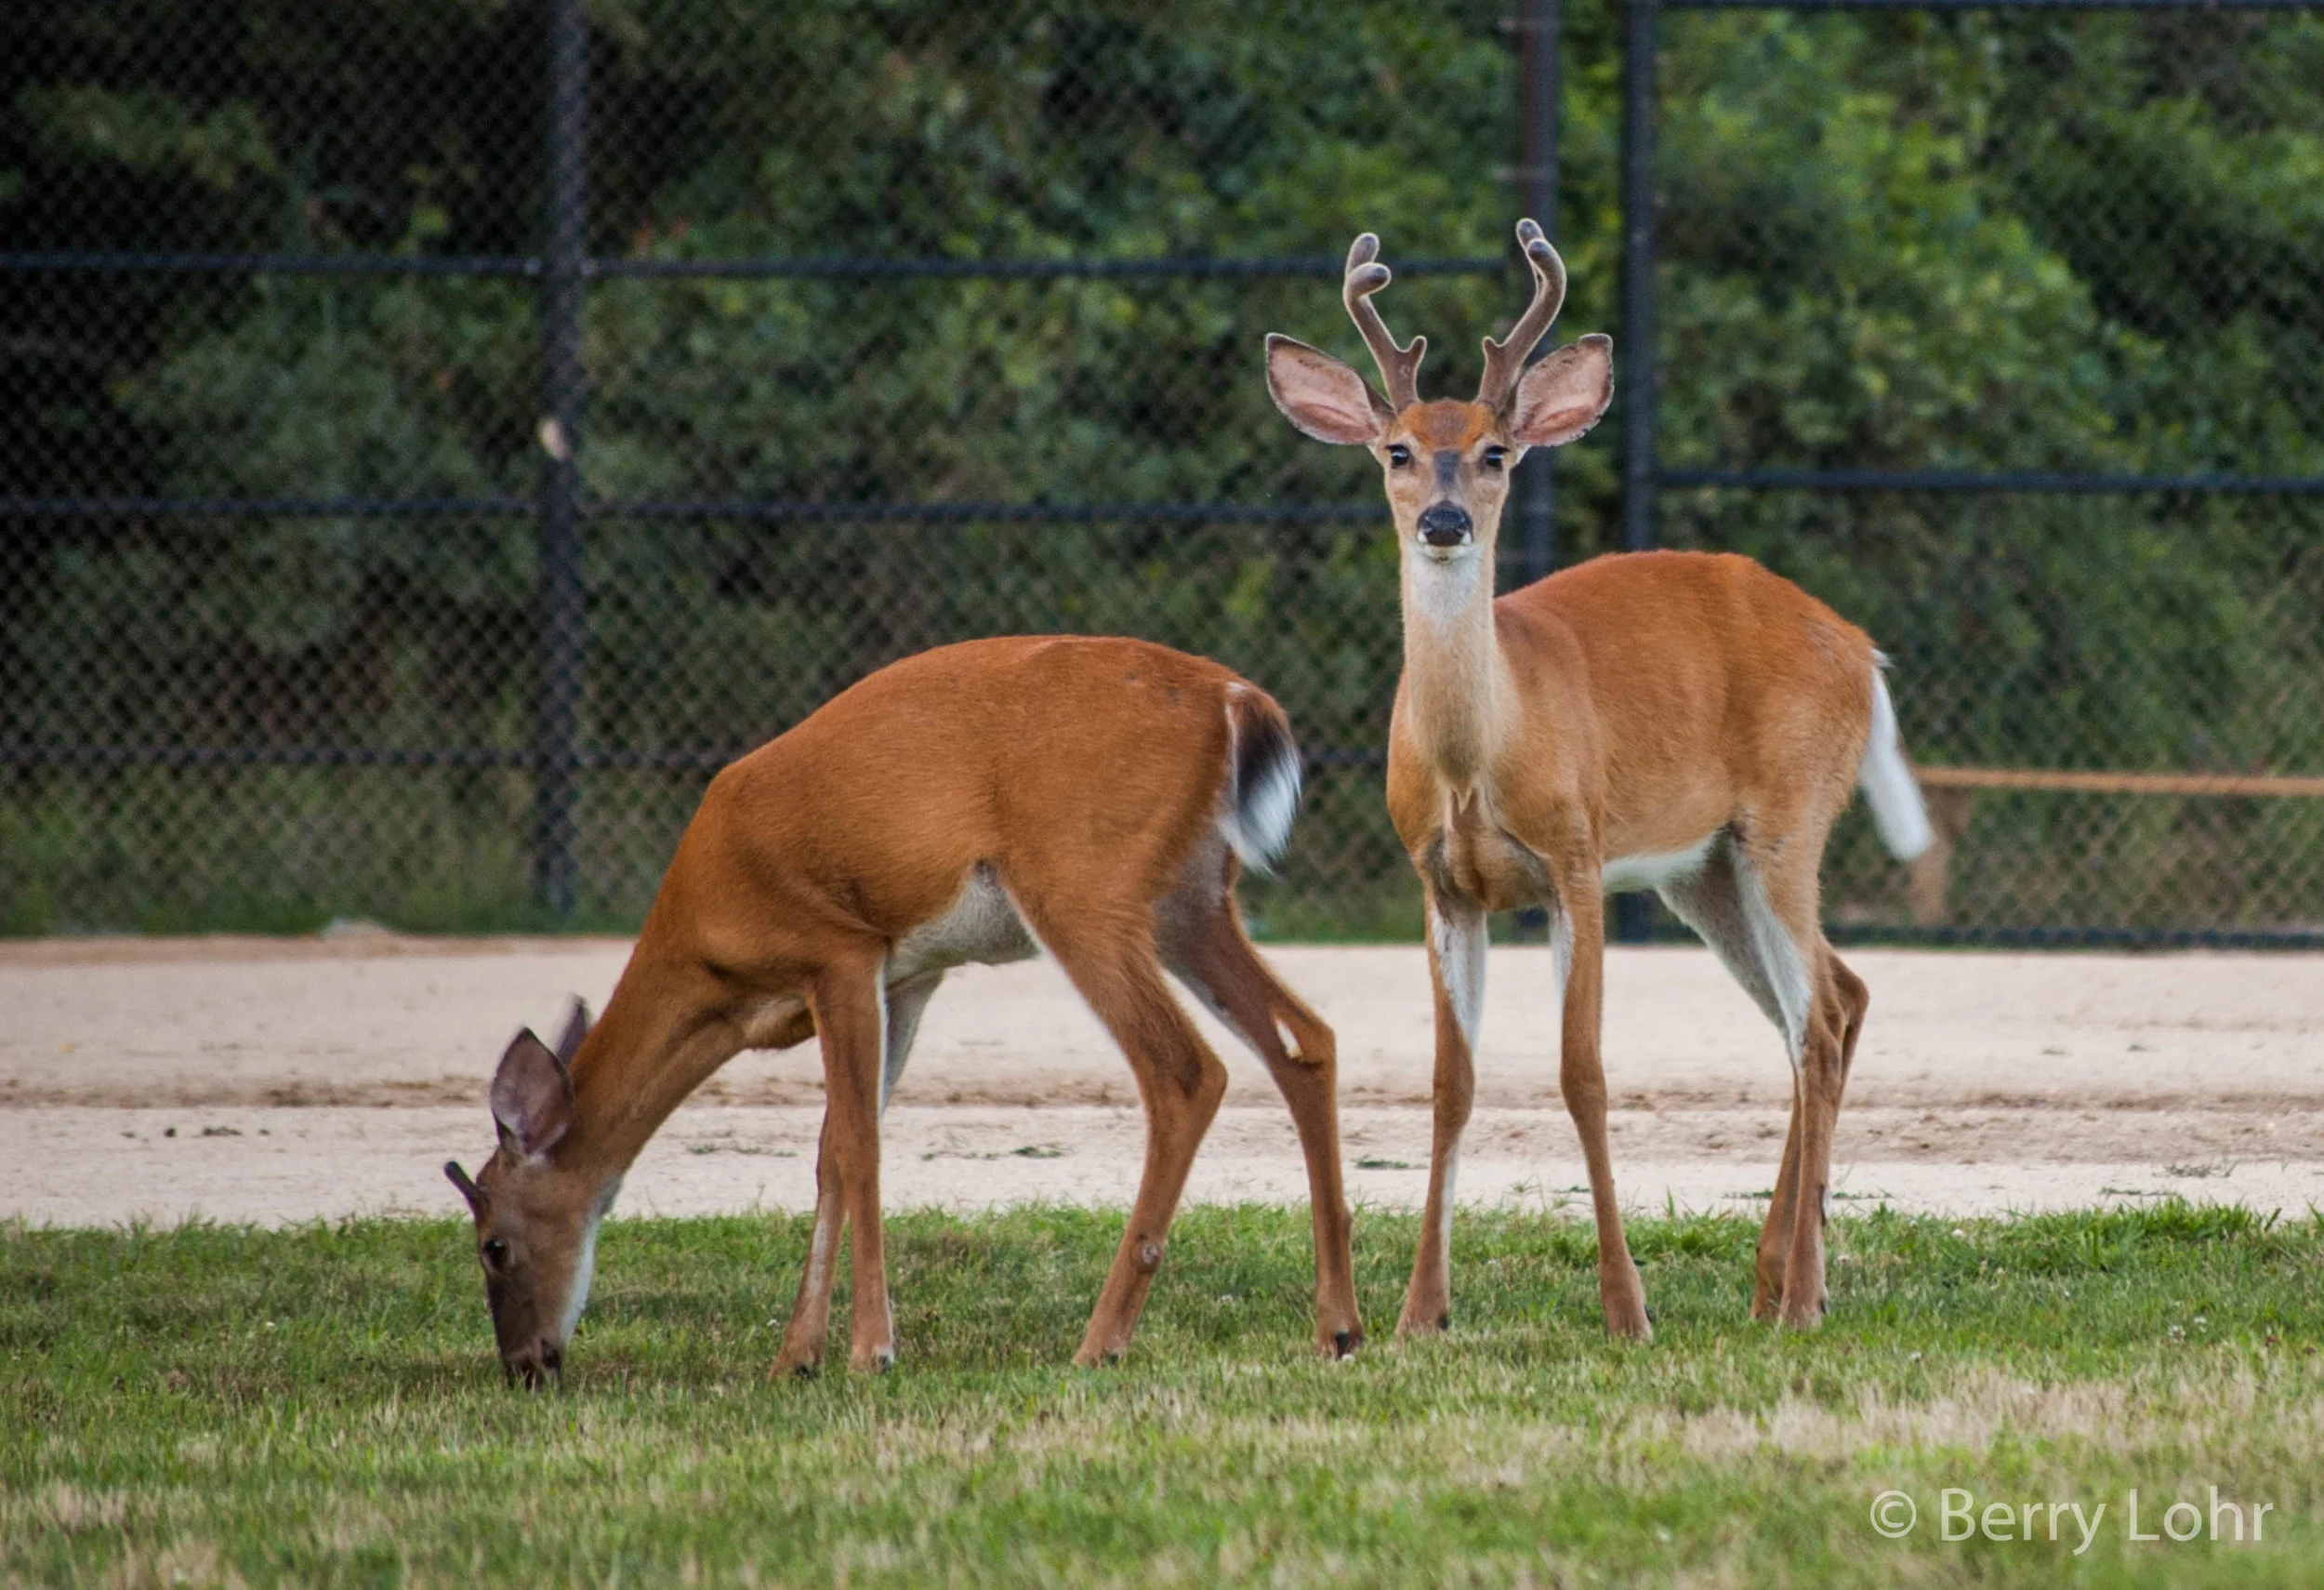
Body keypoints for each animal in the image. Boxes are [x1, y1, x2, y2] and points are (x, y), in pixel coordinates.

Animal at [442, 636, 1361, 1386]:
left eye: (493, 1245)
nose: (525, 1365)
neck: (712, 960)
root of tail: (1236, 700)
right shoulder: (907, 975)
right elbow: (828, 1153)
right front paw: (794, 1357)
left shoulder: (837, 952)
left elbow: (857, 1145)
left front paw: (869, 1351)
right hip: (1193, 899)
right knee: (1306, 1039)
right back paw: (1338, 1327)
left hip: (1085, 885)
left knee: (1186, 1071)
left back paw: (1101, 1342)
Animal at [1263, 220, 1934, 1338]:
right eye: (1398, 450)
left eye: (1496, 452)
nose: (1443, 521)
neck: (1478, 758)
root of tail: (1860, 651)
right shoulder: (1441, 883)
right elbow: (1451, 1082)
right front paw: (1418, 1314)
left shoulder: (1574, 860)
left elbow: (1583, 1075)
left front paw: (1627, 1310)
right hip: (1703, 869)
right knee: (1837, 996)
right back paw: (1780, 1281)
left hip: (1788, 817)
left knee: (1818, 1021)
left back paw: (1798, 1295)